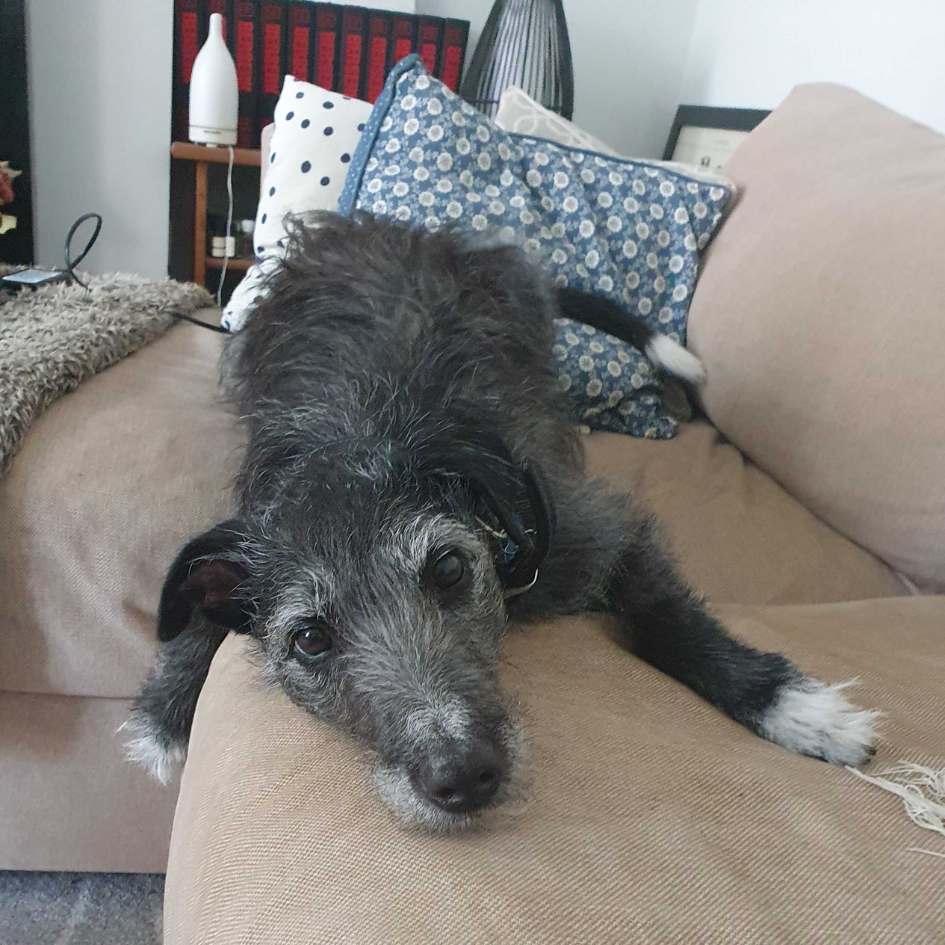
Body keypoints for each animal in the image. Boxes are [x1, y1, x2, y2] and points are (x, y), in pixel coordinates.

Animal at [127, 212, 876, 824]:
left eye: (449, 569)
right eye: (309, 639)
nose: (463, 778)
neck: (355, 434)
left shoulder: (591, 527)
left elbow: (665, 615)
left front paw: (788, 704)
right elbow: (202, 596)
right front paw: (165, 709)